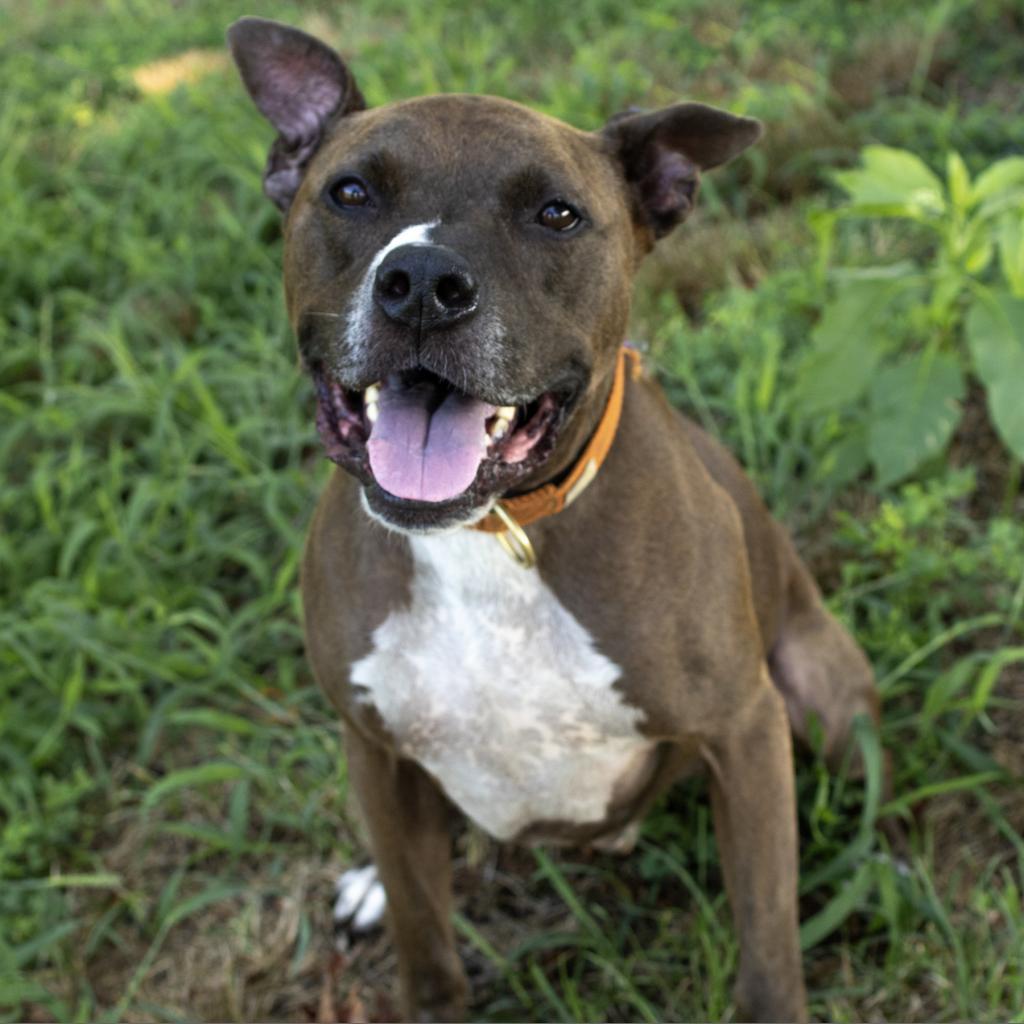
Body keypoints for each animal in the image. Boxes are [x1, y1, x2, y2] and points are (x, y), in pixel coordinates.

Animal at [230, 18, 880, 1024]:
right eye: (350, 192)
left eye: (557, 215)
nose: (422, 280)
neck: (485, 535)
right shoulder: (372, 747)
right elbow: (426, 943)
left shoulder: (742, 729)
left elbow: (768, 945)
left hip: (822, 696)